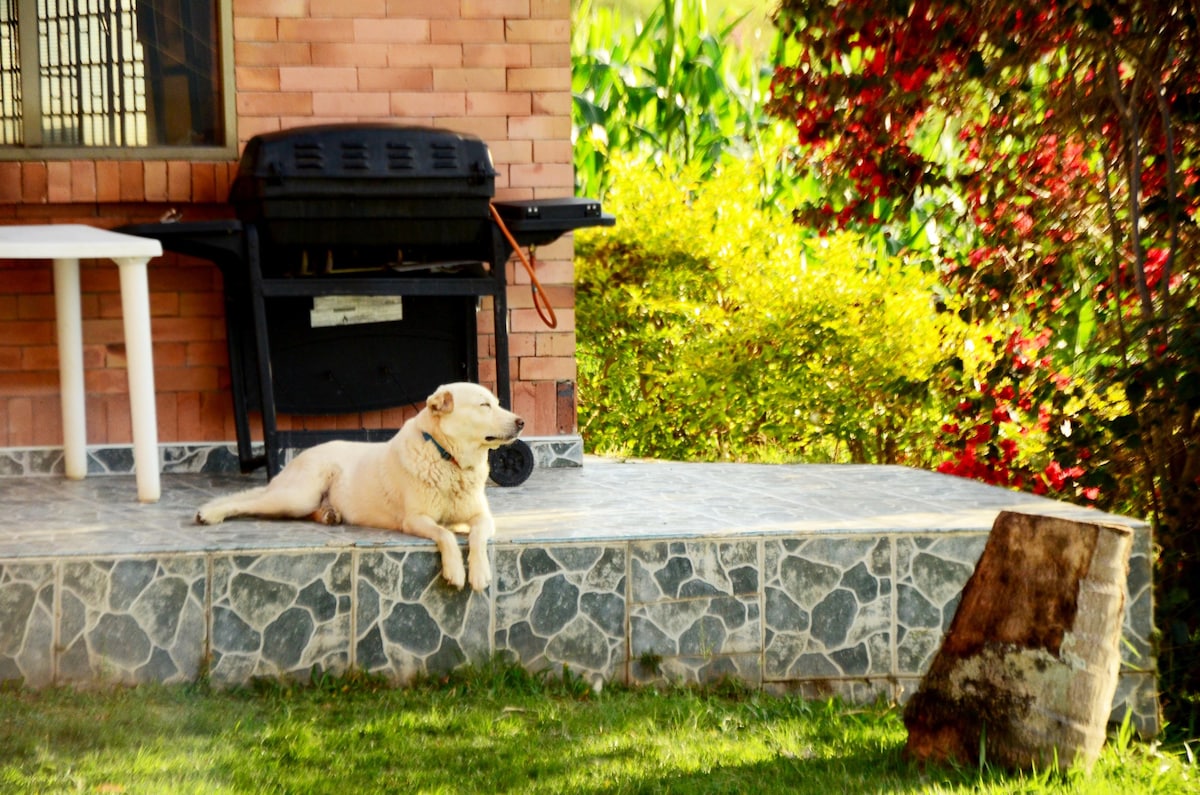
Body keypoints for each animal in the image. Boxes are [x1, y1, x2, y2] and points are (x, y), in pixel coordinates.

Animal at [192, 384, 520, 595]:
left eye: (496, 402)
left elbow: (476, 536)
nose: (521, 421)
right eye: (484, 405)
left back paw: (329, 514)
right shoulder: (414, 519)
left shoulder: (482, 517)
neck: (447, 457)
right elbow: (446, 535)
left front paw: (479, 572)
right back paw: (210, 513)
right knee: (252, 500)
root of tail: (304, 453)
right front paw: (455, 571)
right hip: (297, 496)